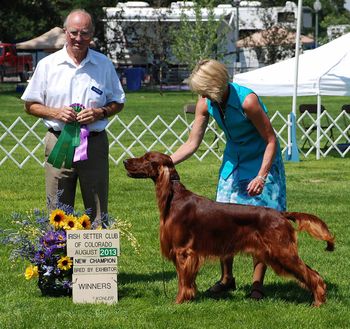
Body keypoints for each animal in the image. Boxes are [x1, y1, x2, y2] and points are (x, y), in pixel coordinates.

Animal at [123, 151, 334, 304]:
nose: (125, 161)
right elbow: (186, 280)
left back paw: (318, 302)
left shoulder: (184, 252)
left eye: (147, 158)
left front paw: (179, 302)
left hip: (282, 252)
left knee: (313, 275)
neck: (174, 198)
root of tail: (281, 214)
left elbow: (183, 281)